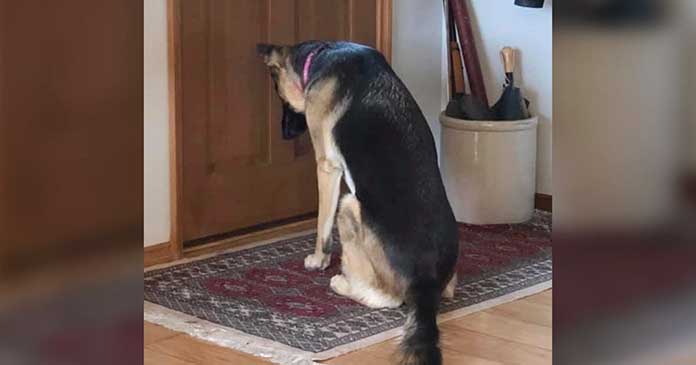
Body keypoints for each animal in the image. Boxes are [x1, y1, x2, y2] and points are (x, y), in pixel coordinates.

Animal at [258, 40, 460, 364]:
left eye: (280, 96)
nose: (284, 133)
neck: (322, 54)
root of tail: (425, 283)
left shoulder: (327, 167)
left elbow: (322, 227)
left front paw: (318, 260)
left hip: (348, 206)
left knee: (386, 297)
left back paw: (344, 282)